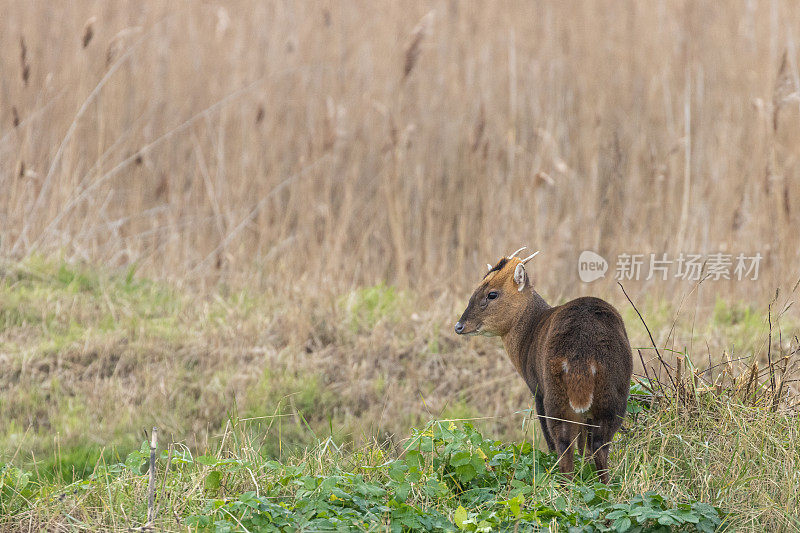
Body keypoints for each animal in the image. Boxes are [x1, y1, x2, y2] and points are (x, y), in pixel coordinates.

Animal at [456, 247, 632, 480]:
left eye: (492, 293)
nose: (459, 326)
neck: (530, 333)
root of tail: (583, 354)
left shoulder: (536, 389)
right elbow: (584, 446)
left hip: (555, 395)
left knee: (563, 444)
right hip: (613, 395)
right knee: (599, 444)